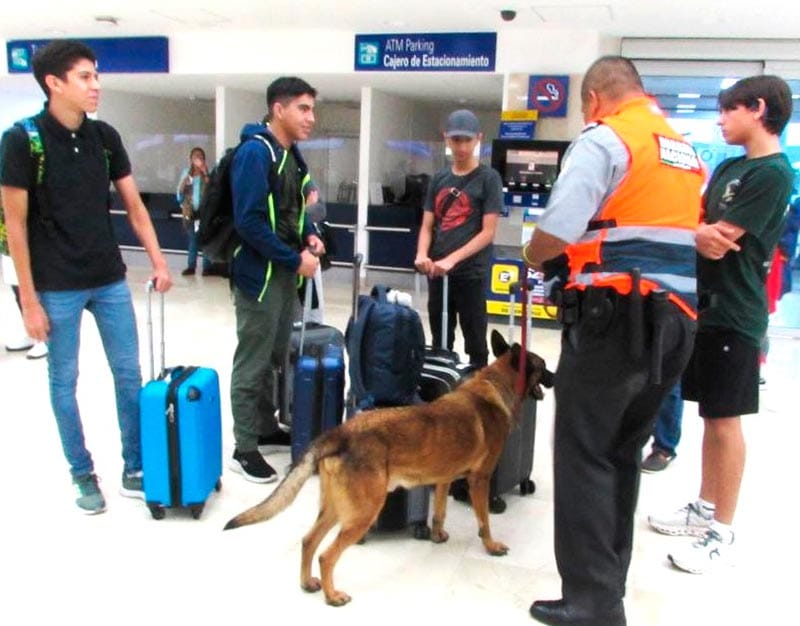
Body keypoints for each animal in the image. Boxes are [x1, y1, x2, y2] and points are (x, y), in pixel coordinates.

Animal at [223, 330, 552, 604]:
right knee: (327, 555)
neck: (494, 386)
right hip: (363, 512)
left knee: (308, 542)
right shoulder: (479, 480)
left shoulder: (443, 480)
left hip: (335, 508)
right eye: (543, 366)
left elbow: (440, 513)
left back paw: (308, 584)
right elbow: (484, 522)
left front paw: (437, 536)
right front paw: (491, 545)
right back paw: (333, 596)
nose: (554, 377)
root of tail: (340, 434)